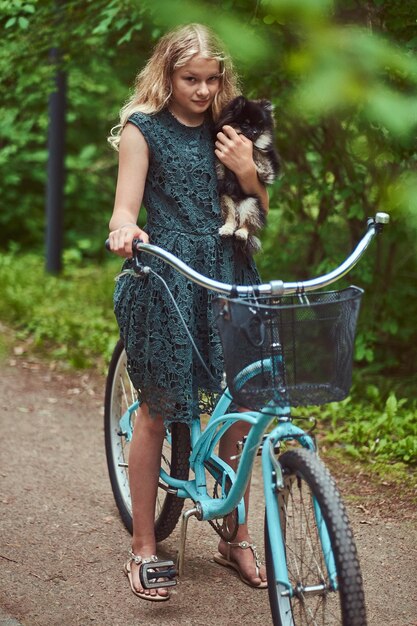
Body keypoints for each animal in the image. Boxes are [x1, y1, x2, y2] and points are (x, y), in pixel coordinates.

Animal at [214, 95, 280, 254]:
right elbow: (223, 169)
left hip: (252, 203)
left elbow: (259, 155)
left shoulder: (270, 164)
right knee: (231, 218)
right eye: (246, 124)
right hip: (225, 200)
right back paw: (227, 229)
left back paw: (241, 234)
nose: (255, 132)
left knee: (246, 224)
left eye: (260, 125)